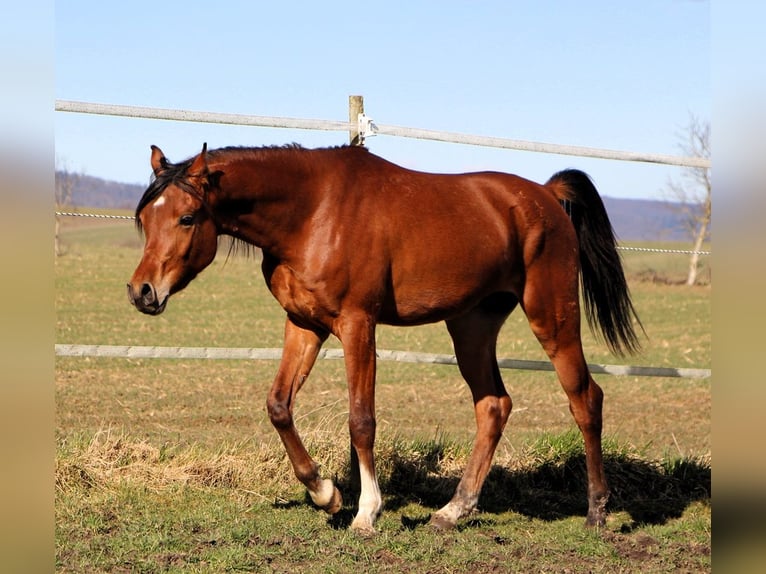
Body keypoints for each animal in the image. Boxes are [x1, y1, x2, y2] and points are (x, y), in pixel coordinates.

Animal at [129, 143, 644, 536]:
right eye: (145, 220)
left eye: (188, 218)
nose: (142, 291)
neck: (313, 212)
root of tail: (547, 195)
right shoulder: (304, 324)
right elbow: (278, 405)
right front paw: (325, 493)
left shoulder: (358, 325)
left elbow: (361, 420)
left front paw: (366, 512)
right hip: (471, 327)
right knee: (494, 406)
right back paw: (453, 511)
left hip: (552, 319)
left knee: (585, 399)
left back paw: (597, 511)